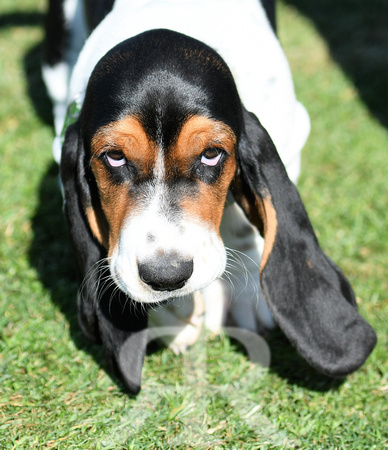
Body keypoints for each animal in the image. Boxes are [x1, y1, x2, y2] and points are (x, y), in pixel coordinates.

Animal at [42, 0, 376, 394]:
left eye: (211, 154)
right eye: (114, 156)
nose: (166, 275)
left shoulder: (292, 133)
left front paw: (246, 294)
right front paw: (174, 314)